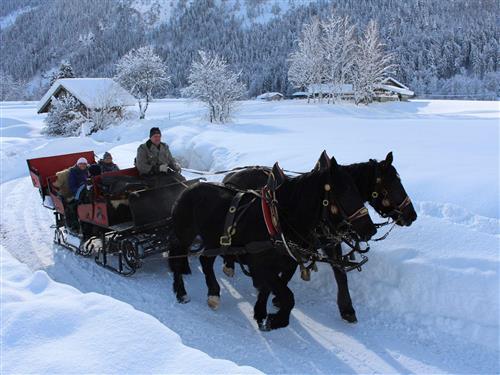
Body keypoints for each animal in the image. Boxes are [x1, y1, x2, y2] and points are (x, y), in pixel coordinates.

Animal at [169, 154, 376, 330]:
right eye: (345, 193)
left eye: (359, 191)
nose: (370, 229)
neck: (279, 222)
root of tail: (188, 188)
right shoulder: (260, 265)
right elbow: (288, 296)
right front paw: (276, 320)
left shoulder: (282, 264)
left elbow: (270, 289)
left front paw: (261, 313)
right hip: (184, 235)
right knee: (176, 258)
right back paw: (181, 292)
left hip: (214, 241)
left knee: (205, 261)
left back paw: (213, 293)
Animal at [224, 152, 418, 324]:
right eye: (393, 184)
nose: (412, 215)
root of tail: (231, 175)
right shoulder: (312, 243)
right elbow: (332, 271)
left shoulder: (321, 243)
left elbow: (335, 272)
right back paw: (229, 265)